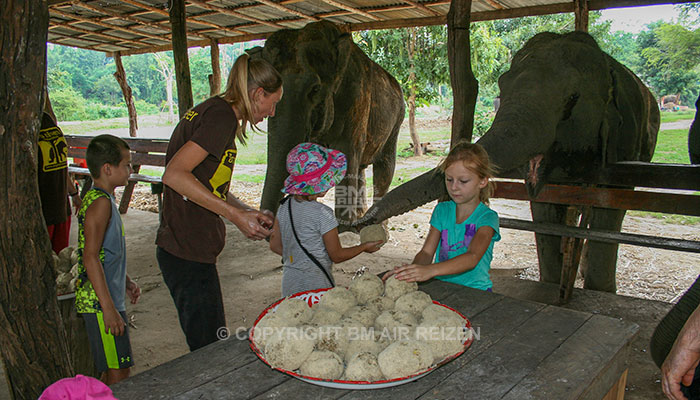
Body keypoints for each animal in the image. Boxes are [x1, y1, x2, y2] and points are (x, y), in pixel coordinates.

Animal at [253, 21, 404, 222]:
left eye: (315, 89)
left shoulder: (357, 99)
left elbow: (347, 156)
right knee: (360, 169)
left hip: (396, 122)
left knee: (384, 170)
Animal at [352, 31, 660, 292]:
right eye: (502, 86)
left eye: (573, 98)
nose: (360, 222)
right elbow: (543, 207)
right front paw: (550, 284)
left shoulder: (625, 145)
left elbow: (611, 207)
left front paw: (601, 291)